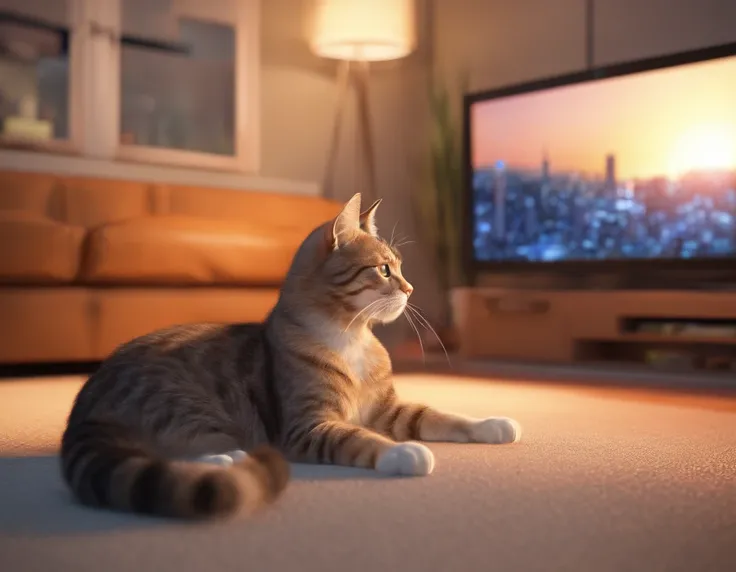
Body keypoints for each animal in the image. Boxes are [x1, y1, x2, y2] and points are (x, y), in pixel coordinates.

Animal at [61, 192, 524, 520]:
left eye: (401, 266)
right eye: (384, 269)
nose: (411, 289)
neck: (353, 338)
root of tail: (87, 397)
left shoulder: (389, 409)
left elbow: (443, 416)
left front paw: (492, 424)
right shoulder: (310, 426)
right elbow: (361, 439)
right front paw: (402, 452)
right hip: (192, 408)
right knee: (180, 450)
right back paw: (230, 460)